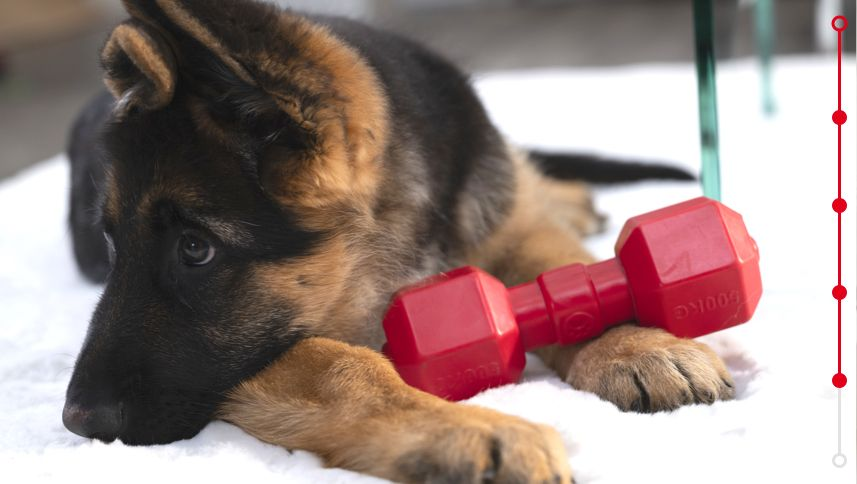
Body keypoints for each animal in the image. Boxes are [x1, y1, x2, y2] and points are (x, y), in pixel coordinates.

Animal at [65, 0, 736, 480]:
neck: (399, 228)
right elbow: (340, 364)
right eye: (111, 244)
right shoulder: (249, 361)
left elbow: (558, 265)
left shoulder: (506, 222)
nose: (76, 421)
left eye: (195, 248)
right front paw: (471, 431)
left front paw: (635, 345)